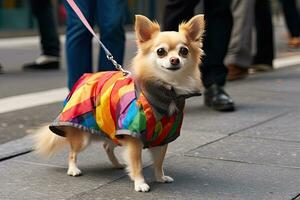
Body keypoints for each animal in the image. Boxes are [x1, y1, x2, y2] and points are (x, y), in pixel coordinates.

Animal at [34, 14, 205, 192]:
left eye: (184, 51)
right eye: (160, 51)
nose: (174, 60)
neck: (166, 90)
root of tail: (85, 78)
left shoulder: (162, 137)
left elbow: (159, 162)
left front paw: (160, 177)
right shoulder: (134, 138)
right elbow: (137, 164)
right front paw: (140, 183)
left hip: (111, 129)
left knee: (107, 146)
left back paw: (117, 164)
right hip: (83, 136)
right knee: (72, 152)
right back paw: (73, 169)